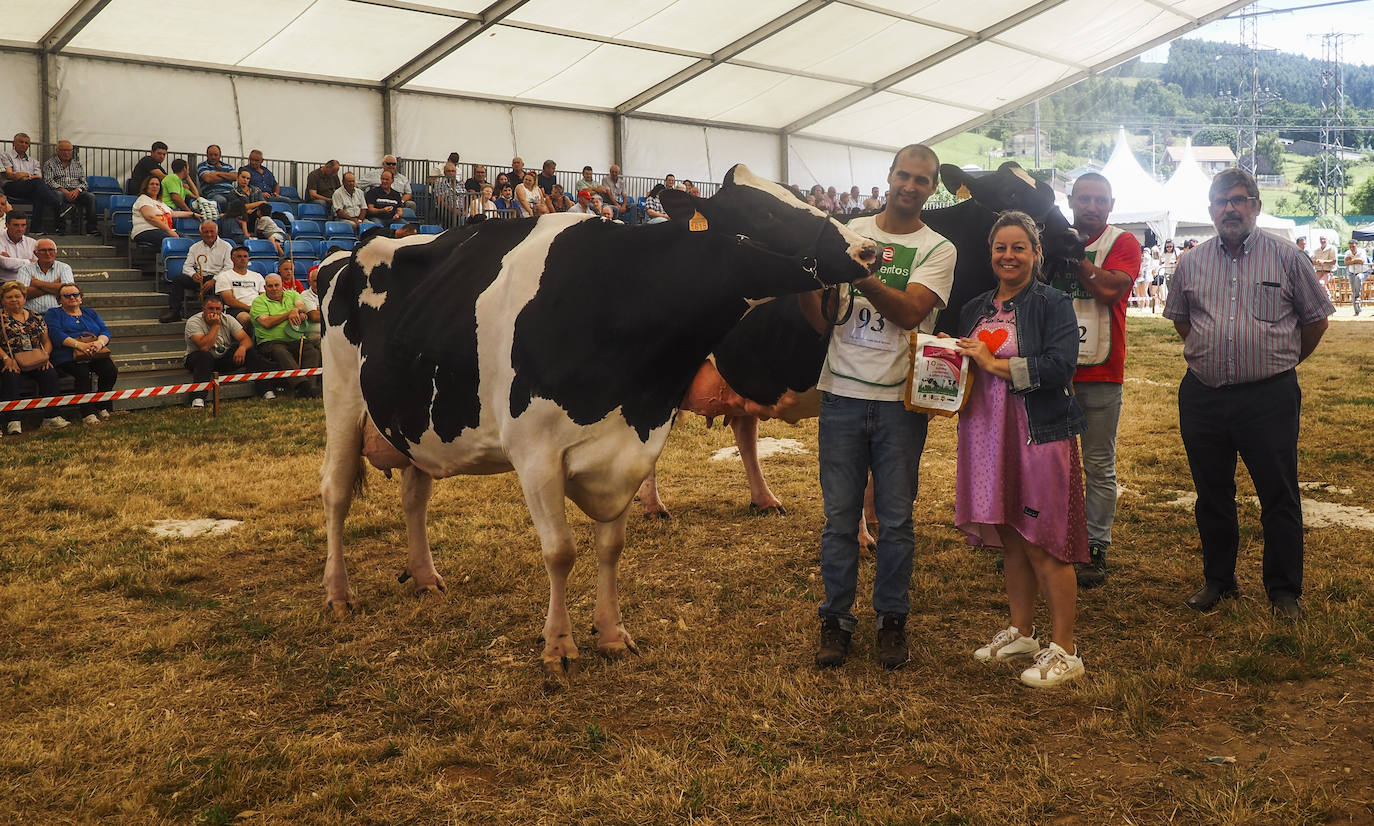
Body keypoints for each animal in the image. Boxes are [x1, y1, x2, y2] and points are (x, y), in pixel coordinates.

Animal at [314, 165, 873, 676]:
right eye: (765, 212)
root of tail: (349, 252)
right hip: (342, 399)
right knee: (336, 492)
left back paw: (425, 576)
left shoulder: (630, 444)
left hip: (411, 421)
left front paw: (610, 634)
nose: (869, 250)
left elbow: (611, 546)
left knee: (414, 495)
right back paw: (338, 593)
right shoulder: (535, 453)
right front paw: (558, 646)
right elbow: (561, 551)